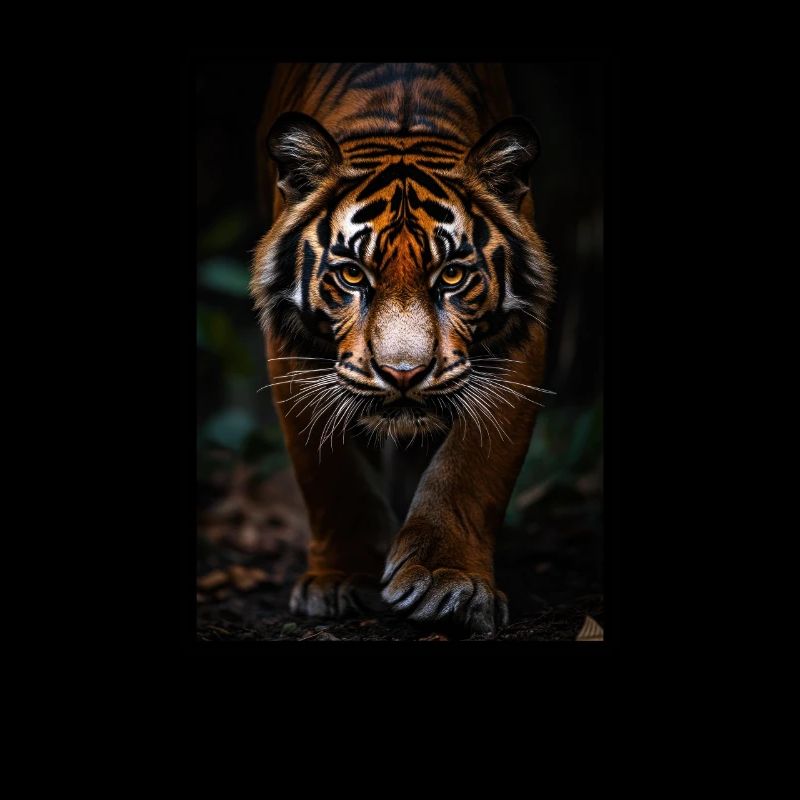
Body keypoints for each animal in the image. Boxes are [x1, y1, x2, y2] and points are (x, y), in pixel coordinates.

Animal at [251, 63, 555, 636]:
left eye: (452, 276)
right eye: (352, 274)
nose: (404, 374)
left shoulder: (521, 341)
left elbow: (471, 468)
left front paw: (447, 582)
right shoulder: (290, 348)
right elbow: (330, 473)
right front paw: (341, 577)